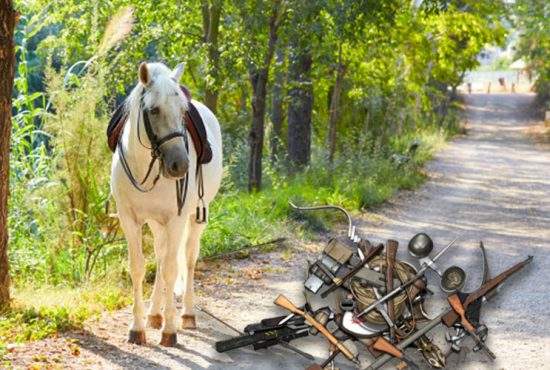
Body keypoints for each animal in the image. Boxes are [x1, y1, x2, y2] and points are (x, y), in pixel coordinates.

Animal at [111, 61, 223, 346]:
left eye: (183, 111)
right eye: (153, 110)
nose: (180, 165)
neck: (145, 167)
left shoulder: (177, 219)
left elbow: (173, 269)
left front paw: (170, 331)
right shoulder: (129, 219)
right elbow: (139, 268)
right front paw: (138, 327)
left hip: (195, 218)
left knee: (188, 258)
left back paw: (187, 315)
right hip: (156, 222)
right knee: (161, 256)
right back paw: (154, 314)